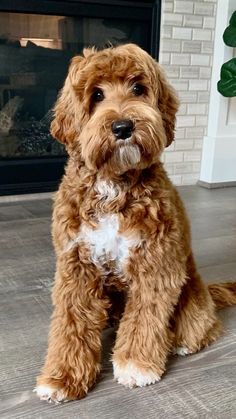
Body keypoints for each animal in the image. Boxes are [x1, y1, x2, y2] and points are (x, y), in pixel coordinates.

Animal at [34, 43, 236, 404]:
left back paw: (180, 341)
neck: (115, 186)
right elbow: (71, 323)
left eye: (139, 89)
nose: (123, 127)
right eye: (97, 95)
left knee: (203, 328)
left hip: (192, 299)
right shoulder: (76, 264)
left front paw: (135, 364)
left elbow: (145, 318)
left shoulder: (156, 264)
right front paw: (62, 377)